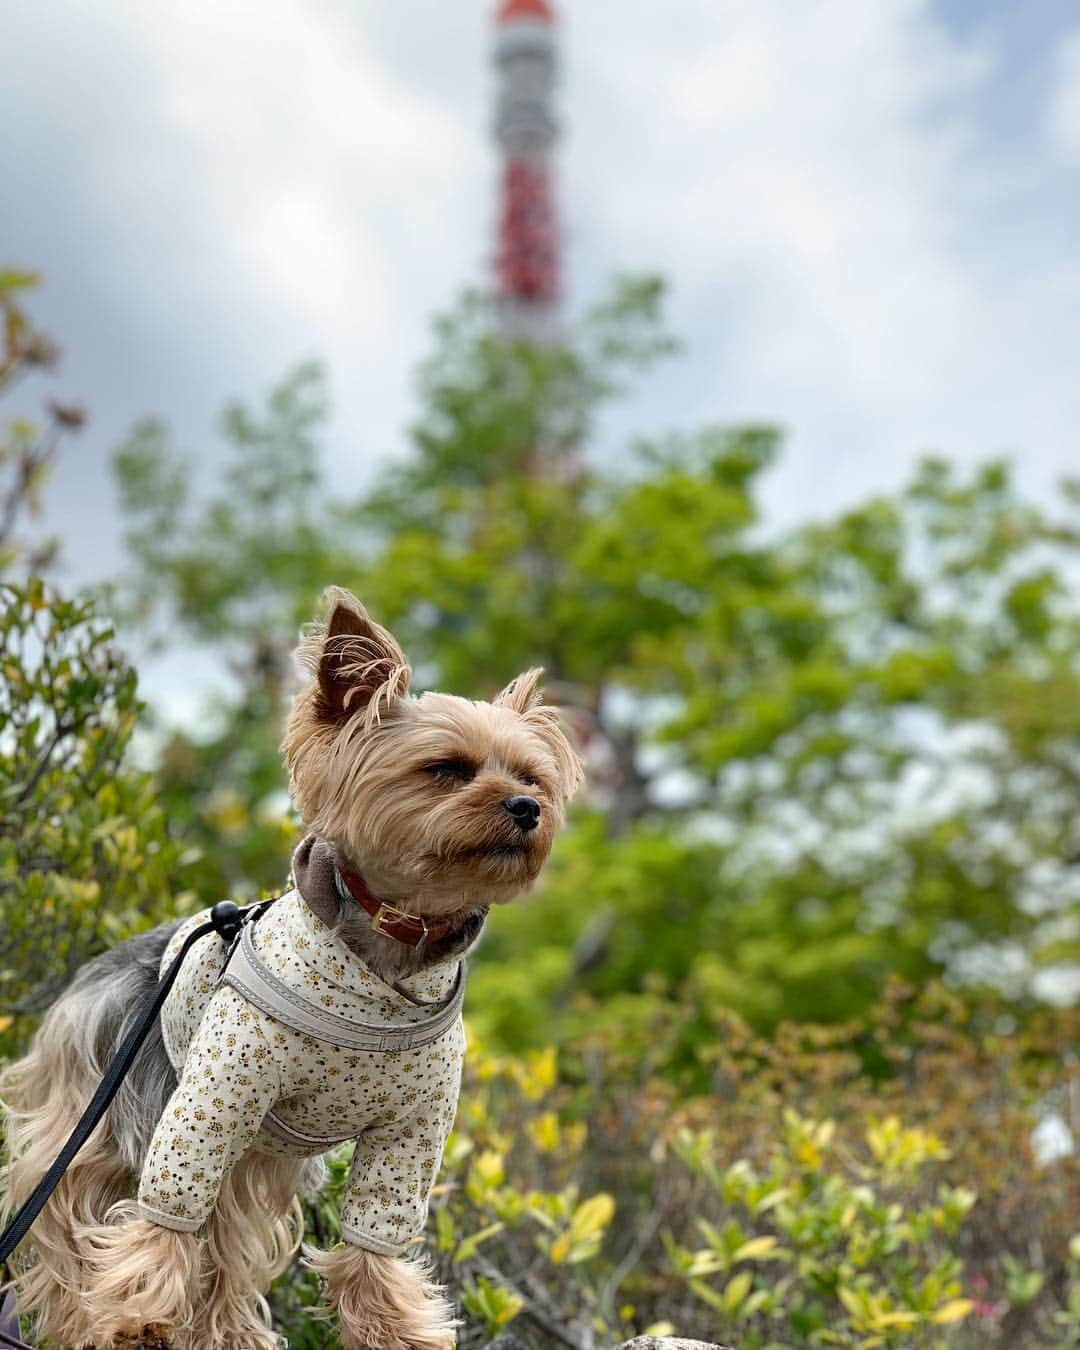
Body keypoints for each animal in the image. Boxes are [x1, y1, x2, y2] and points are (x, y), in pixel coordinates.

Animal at [2, 594, 583, 1350]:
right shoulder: (214, 1097)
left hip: (250, 1155)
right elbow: (167, 1211)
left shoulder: (410, 1130)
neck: (392, 946)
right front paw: (135, 1315)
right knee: (67, 1212)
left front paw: (397, 1328)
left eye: (531, 778)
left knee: (228, 1240)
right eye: (447, 770)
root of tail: (97, 966)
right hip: (98, 1104)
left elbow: (376, 1233)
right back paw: (80, 1318)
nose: (527, 809)